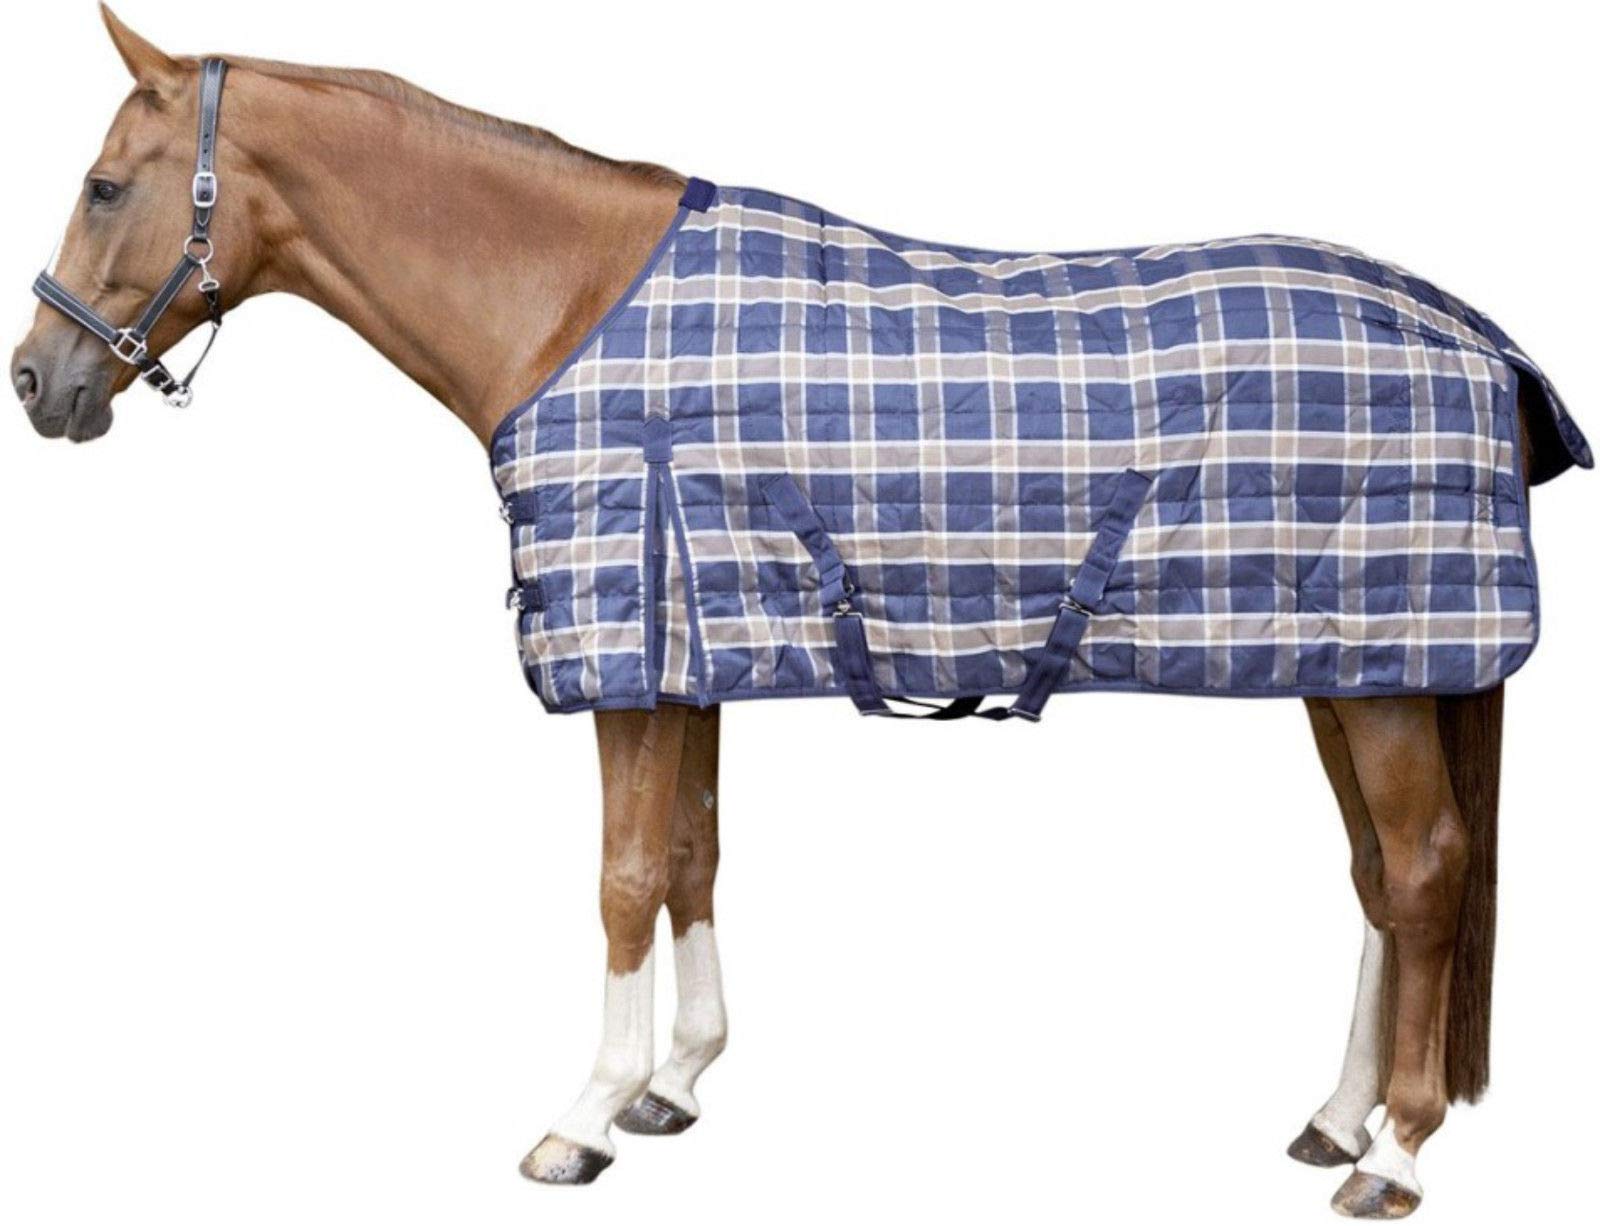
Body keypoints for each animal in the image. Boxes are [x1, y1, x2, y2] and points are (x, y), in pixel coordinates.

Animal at [11, 10, 1589, 1217]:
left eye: (104, 185)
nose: (37, 381)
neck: (568, 304)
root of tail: (1475, 334)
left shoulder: (632, 658)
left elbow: (622, 878)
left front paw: (582, 1115)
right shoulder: (692, 648)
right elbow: (693, 855)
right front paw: (676, 1081)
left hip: (1384, 673)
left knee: (1427, 870)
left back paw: (1394, 1151)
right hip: (1349, 662)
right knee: (1381, 876)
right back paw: (1336, 1115)